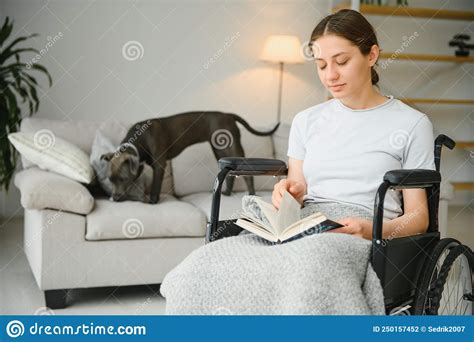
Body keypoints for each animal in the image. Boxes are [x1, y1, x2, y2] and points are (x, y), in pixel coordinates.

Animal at [100, 112, 278, 203]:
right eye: (110, 179)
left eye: (123, 179)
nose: (114, 198)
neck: (140, 140)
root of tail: (228, 115)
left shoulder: (160, 165)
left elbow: (155, 187)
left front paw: (151, 201)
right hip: (219, 150)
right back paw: (227, 193)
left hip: (231, 146)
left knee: (247, 174)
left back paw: (252, 194)